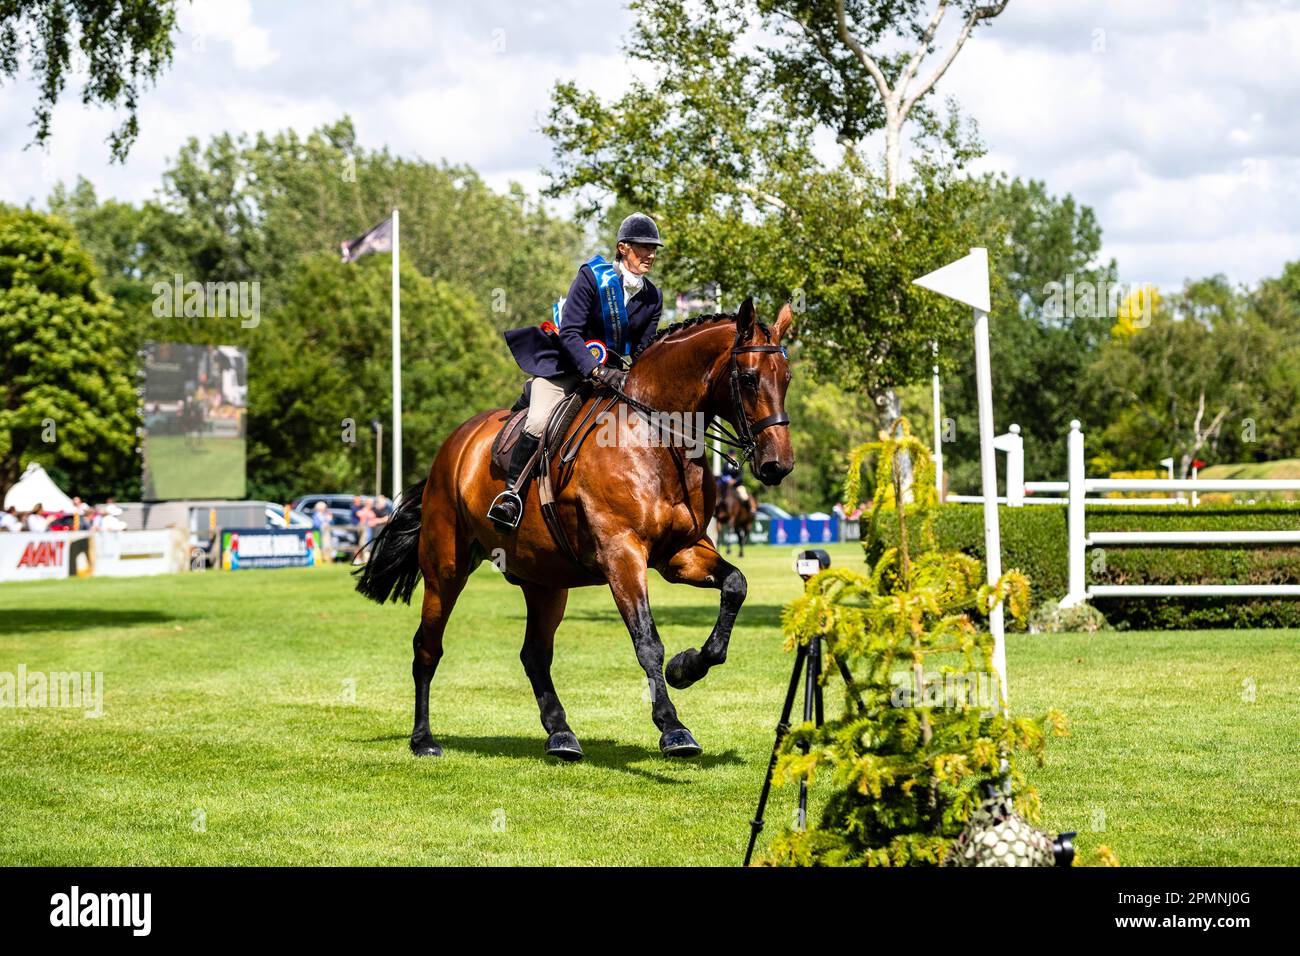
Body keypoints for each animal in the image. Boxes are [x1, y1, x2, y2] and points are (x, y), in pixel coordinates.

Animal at [358, 299, 800, 764]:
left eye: (786, 378)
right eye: (748, 378)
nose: (778, 465)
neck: (658, 441)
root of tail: (452, 447)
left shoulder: (681, 553)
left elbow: (735, 585)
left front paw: (687, 667)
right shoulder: (622, 555)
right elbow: (647, 641)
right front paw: (673, 727)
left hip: (544, 580)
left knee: (534, 655)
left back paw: (561, 735)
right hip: (446, 569)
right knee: (427, 647)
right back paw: (423, 739)